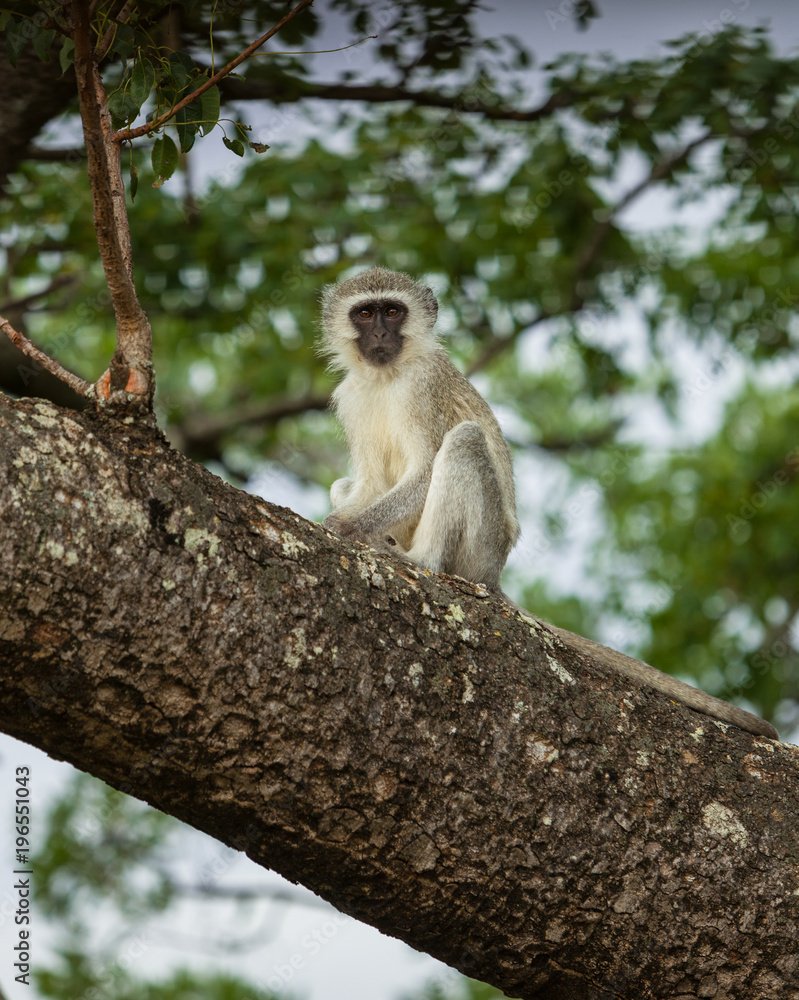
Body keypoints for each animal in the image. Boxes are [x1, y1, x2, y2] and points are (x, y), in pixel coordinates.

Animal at [319, 266, 519, 594]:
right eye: (365, 313)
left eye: (392, 312)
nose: (379, 334)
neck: (386, 376)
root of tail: (494, 576)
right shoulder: (350, 397)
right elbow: (371, 483)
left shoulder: (423, 382)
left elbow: (425, 470)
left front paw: (352, 526)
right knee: (341, 486)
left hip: (484, 550)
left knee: (465, 439)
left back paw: (421, 560)